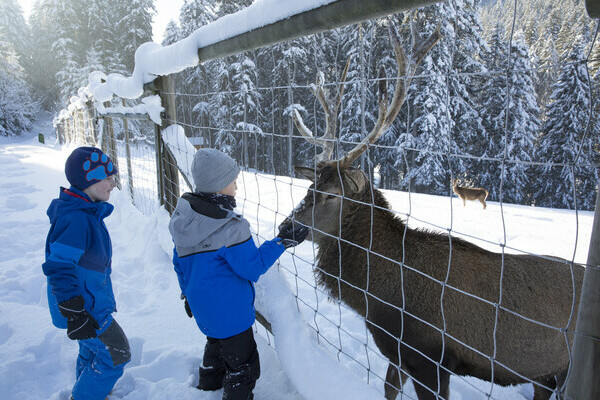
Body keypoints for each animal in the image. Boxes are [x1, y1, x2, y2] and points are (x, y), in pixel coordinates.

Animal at [282, 21, 584, 400]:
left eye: (332, 195)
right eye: (310, 188)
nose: (285, 228)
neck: (381, 299)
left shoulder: (432, 357)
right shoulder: (398, 352)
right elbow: (388, 390)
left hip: (563, 370)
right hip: (544, 374)